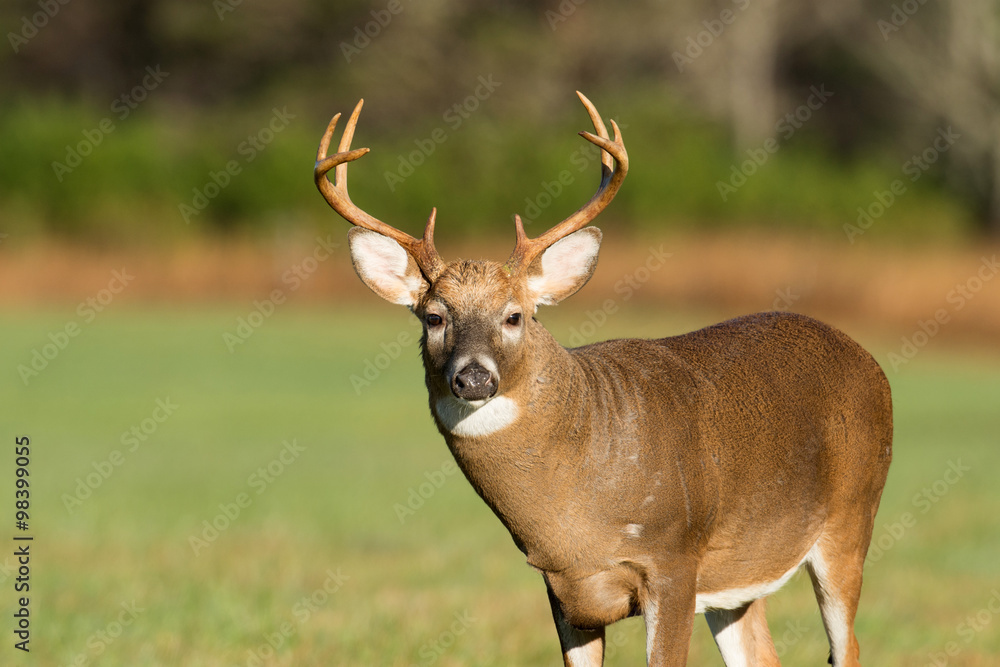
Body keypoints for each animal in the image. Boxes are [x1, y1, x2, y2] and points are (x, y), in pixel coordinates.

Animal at [313, 92, 893, 667]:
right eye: (434, 318)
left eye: (515, 315)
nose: (473, 378)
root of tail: (870, 361)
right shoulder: (563, 586)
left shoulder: (673, 557)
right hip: (742, 571)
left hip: (850, 517)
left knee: (848, 646)